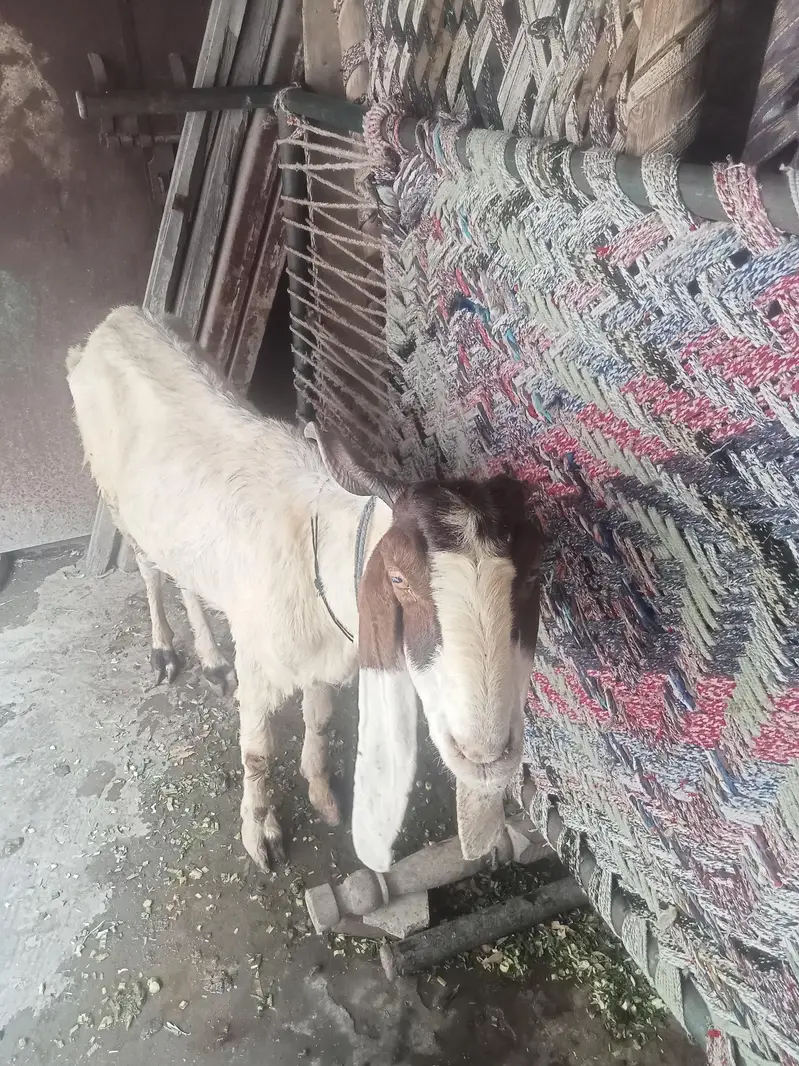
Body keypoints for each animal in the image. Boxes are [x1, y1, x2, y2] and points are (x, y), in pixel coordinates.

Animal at [67, 307, 544, 873]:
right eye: (398, 578)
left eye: (534, 574)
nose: (486, 757)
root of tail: (114, 320)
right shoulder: (259, 661)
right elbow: (257, 751)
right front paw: (261, 834)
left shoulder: (323, 658)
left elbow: (318, 719)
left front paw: (321, 792)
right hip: (117, 496)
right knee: (149, 568)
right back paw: (165, 651)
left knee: (186, 575)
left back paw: (212, 661)